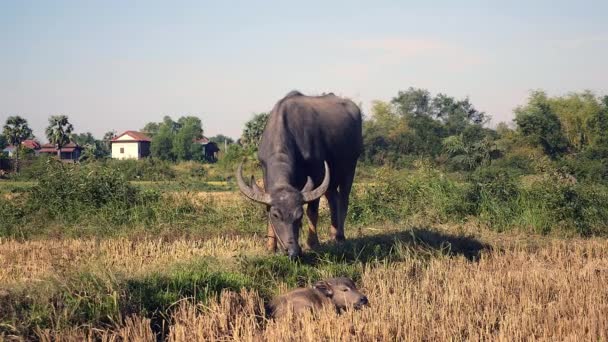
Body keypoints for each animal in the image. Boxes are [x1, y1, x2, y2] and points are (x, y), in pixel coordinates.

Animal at [236, 90, 360, 256]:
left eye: (299, 215)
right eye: (276, 215)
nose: (292, 251)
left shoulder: (318, 173)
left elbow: (312, 212)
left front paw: (312, 243)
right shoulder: (265, 172)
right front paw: (270, 247)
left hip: (350, 168)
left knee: (344, 199)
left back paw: (340, 237)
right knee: (333, 198)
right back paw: (333, 235)